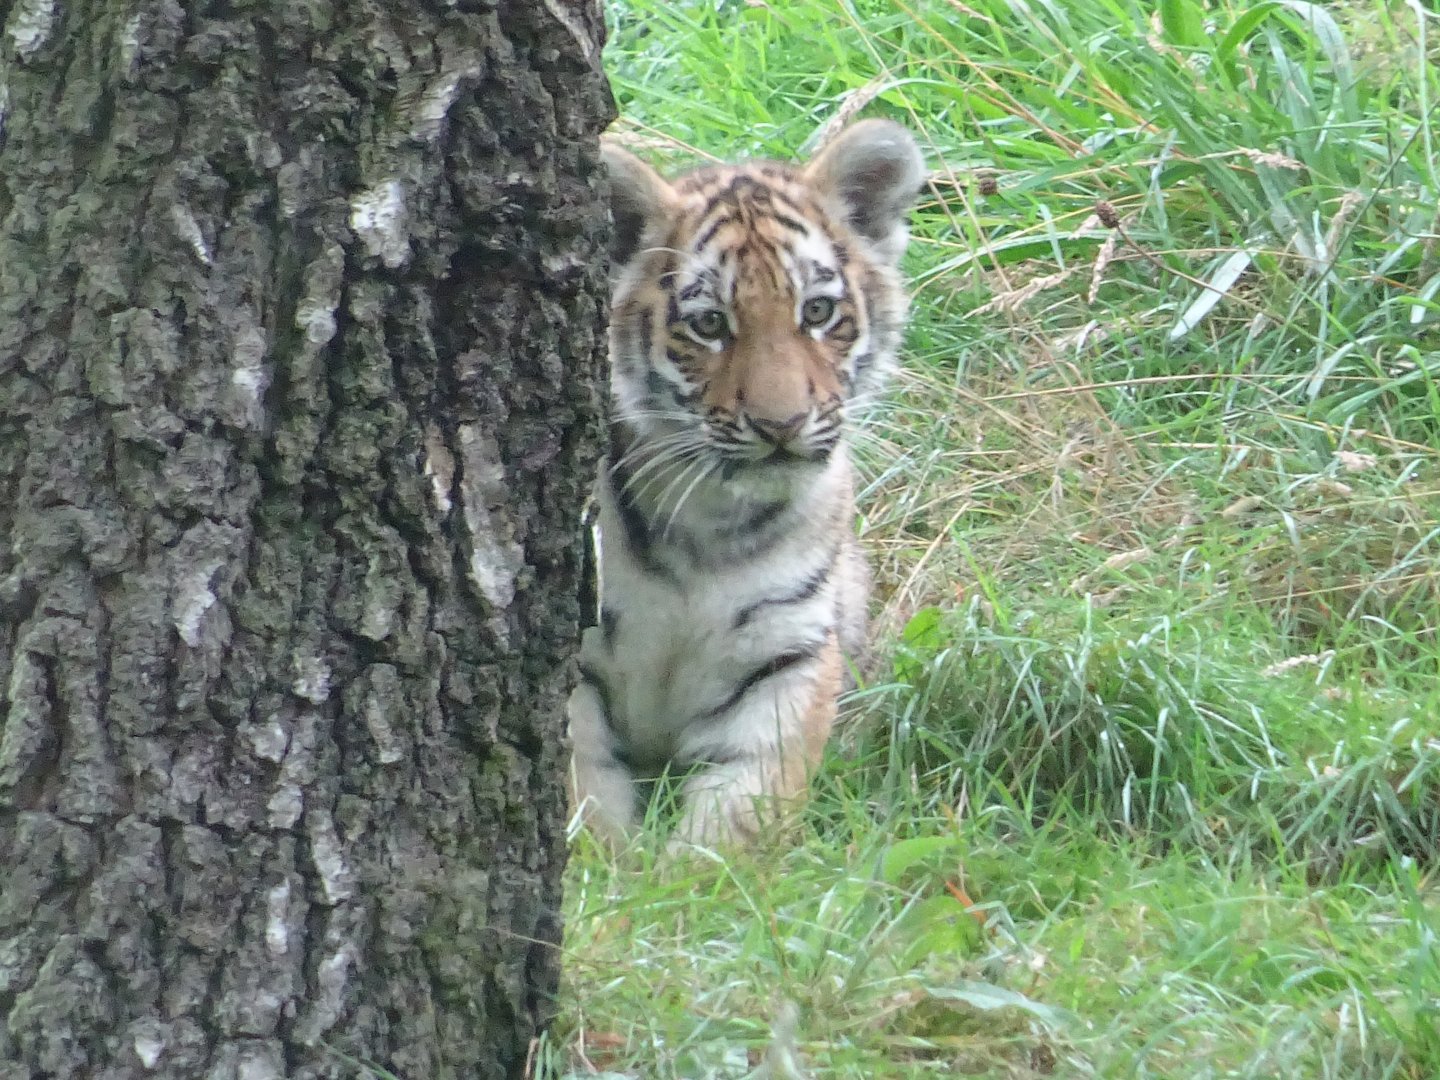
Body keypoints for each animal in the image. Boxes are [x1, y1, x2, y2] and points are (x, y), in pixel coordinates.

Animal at [567, 119, 925, 848]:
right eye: (709, 324)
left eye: (818, 312)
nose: (780, 423)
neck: (708, 520)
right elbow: (585, 796)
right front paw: (611, 872)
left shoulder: (788, 656)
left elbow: (741, 815)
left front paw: (694, 870)